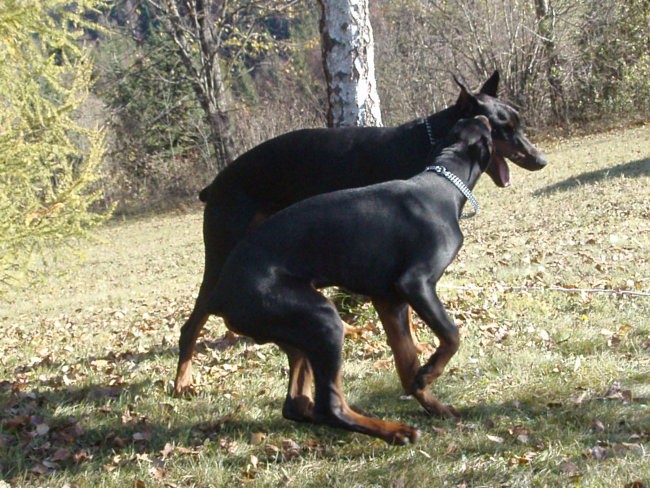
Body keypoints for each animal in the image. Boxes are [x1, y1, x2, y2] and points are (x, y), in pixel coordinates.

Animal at [172, 70, 548, 394]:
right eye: (503, 128)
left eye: (518, 121)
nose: (540, 160)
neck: (430, 142)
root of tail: (214, 184)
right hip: (222, 249)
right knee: (192, 324)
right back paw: (182, 380)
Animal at [210, 116, 494, 444]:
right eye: (485, 129)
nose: (484, 116)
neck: (442, 185)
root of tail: (221, 295)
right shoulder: (416, 284)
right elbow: (451, 334)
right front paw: (431, 371)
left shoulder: (389, 301)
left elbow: (407, 364)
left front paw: (431, 399)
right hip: (323, 320)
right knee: (329, 407)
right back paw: (395, 431)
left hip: (299, 334)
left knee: (298, 404)